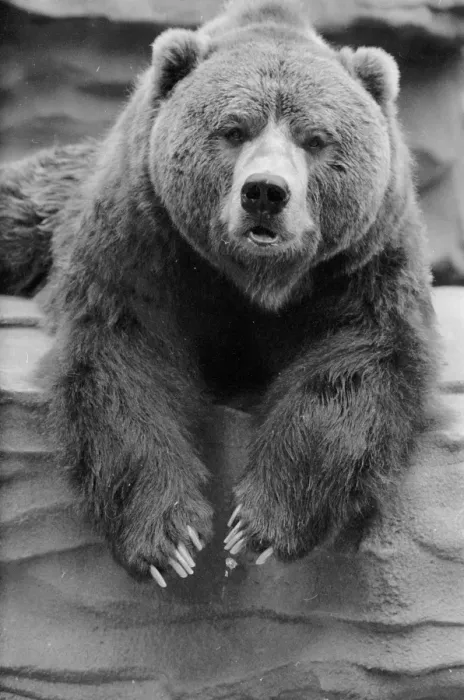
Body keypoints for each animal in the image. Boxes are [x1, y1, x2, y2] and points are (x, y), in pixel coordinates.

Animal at [0, 0, 439, 586]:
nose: (266, 192)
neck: (253, 279)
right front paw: (171, 541)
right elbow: (123, 357)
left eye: (314, 138)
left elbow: (357, 364)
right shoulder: (142, 242)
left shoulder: (362, 263)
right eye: (234, 130)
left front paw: (260, 524)